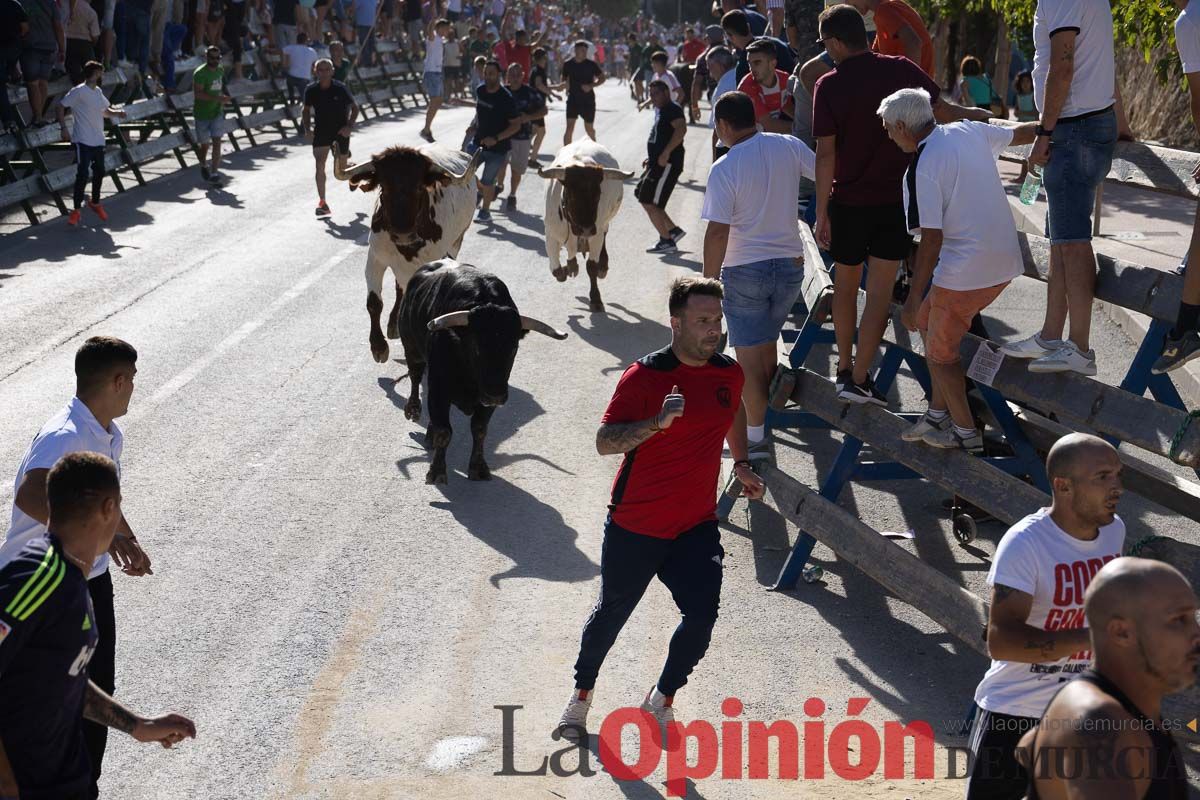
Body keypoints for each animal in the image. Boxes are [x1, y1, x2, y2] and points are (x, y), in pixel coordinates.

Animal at [396, 262, 568, 484]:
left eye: (514, 348)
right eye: (476, 347)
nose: (495, 395)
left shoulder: (485, 402)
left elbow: (479, 430)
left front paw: (478, 468)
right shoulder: (438, 390)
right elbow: (445, 432)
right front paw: (437, 472)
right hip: (412, 349)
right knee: (415, 376)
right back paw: (413, 409)